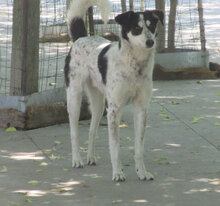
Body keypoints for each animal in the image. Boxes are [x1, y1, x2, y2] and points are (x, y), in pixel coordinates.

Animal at [64, 0, 164, 180]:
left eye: (151, 26)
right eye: (136, 28)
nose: (150, 42)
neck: (135, 65)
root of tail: (81, 38)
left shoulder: (141, 108)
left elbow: (139, 148)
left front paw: (142, 172)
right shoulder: (115, 110)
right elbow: (115, 147)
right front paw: (118, 173)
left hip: (99, 105)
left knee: (92, 131)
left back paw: (91, 157)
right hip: (74, 97)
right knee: (74, 132)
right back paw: (77, 160)